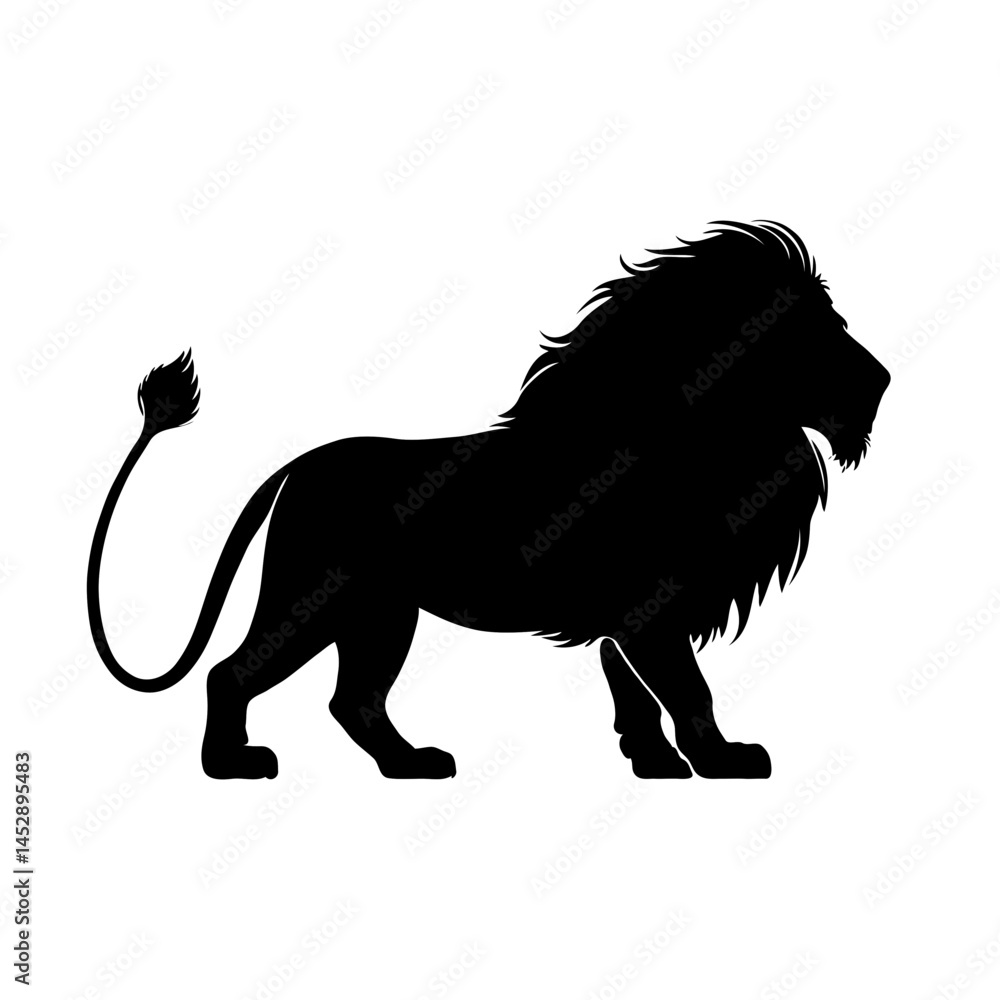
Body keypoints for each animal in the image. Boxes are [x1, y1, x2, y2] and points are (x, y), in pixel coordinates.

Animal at [88, 221, 889, 780]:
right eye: (807, 331)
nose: (881, 382)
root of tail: (302, 463)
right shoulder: (653, 606)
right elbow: (688, 690)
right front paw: (721, 759)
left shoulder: (628, 616)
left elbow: (632, 684)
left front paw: (655, 762)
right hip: (316, 594)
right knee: (235, 673)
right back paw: (230, 766)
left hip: (380, 614)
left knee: (356, 700)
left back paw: (409, 765)